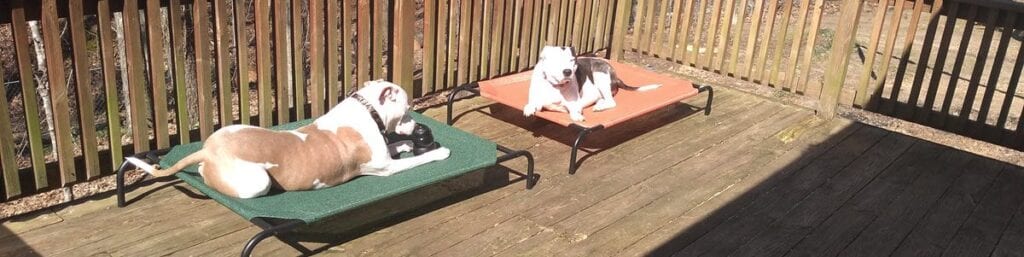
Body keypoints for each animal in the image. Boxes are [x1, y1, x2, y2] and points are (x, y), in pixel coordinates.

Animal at [122, 80, 448, 198]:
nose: (416, 125)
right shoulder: (386, 168)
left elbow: (396, 146)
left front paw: (407, 144)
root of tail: (208, 152)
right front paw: (438, 152)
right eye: (407, 108)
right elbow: (418, 159)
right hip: (257, 181)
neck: (368, 110)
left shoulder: (385, 155)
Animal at [524, 45, 659, 121]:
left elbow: (572, 108)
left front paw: (575, 114)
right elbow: (533, 103)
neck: (555, 86)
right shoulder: (536, 98)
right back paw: (599, 104)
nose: (567, 71)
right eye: (556, 60)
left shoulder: (574, 103)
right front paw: (530, 108)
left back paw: (600, 106)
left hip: (600, 74)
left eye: (572, 60)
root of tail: (615, 75)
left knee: (611, 102)